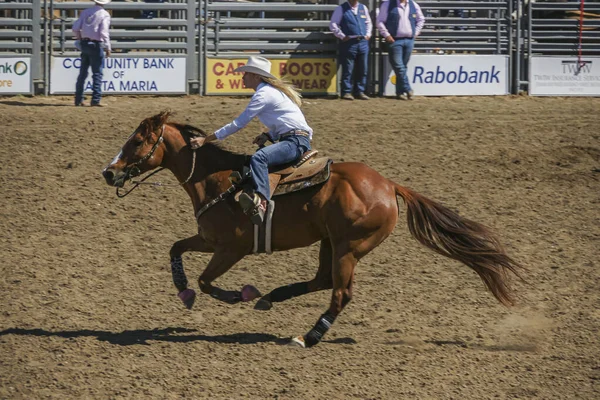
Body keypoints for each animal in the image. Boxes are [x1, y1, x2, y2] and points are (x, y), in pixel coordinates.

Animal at [101, 111, 524, 348]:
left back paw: (308, 336)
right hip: (329, 242)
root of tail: (389, 186)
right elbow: (175, 249)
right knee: (322, 281)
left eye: (138, 140)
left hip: (349, 247)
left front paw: (239, 294)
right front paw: (184, 291)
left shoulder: (230, 249)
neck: (217, 179)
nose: (109, 172)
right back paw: (273, 298)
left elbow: (208, 282)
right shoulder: (207, 239)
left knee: (340, 293)